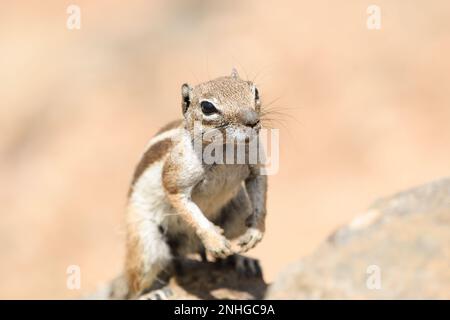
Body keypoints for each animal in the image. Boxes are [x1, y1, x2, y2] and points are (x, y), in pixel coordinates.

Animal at [121, 70, 268, 300]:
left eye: (255, 91)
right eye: (207, 107)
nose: (253, 121)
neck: (225, 149)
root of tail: (187, 249)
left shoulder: (255, 165)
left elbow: (259, 187)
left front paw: (255, 232)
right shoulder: (176, 179)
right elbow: (186, 206)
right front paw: (214, 240)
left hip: (239, 210)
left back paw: (241, 261)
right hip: (145, 242)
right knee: (135, 283)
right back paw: (150, 293)